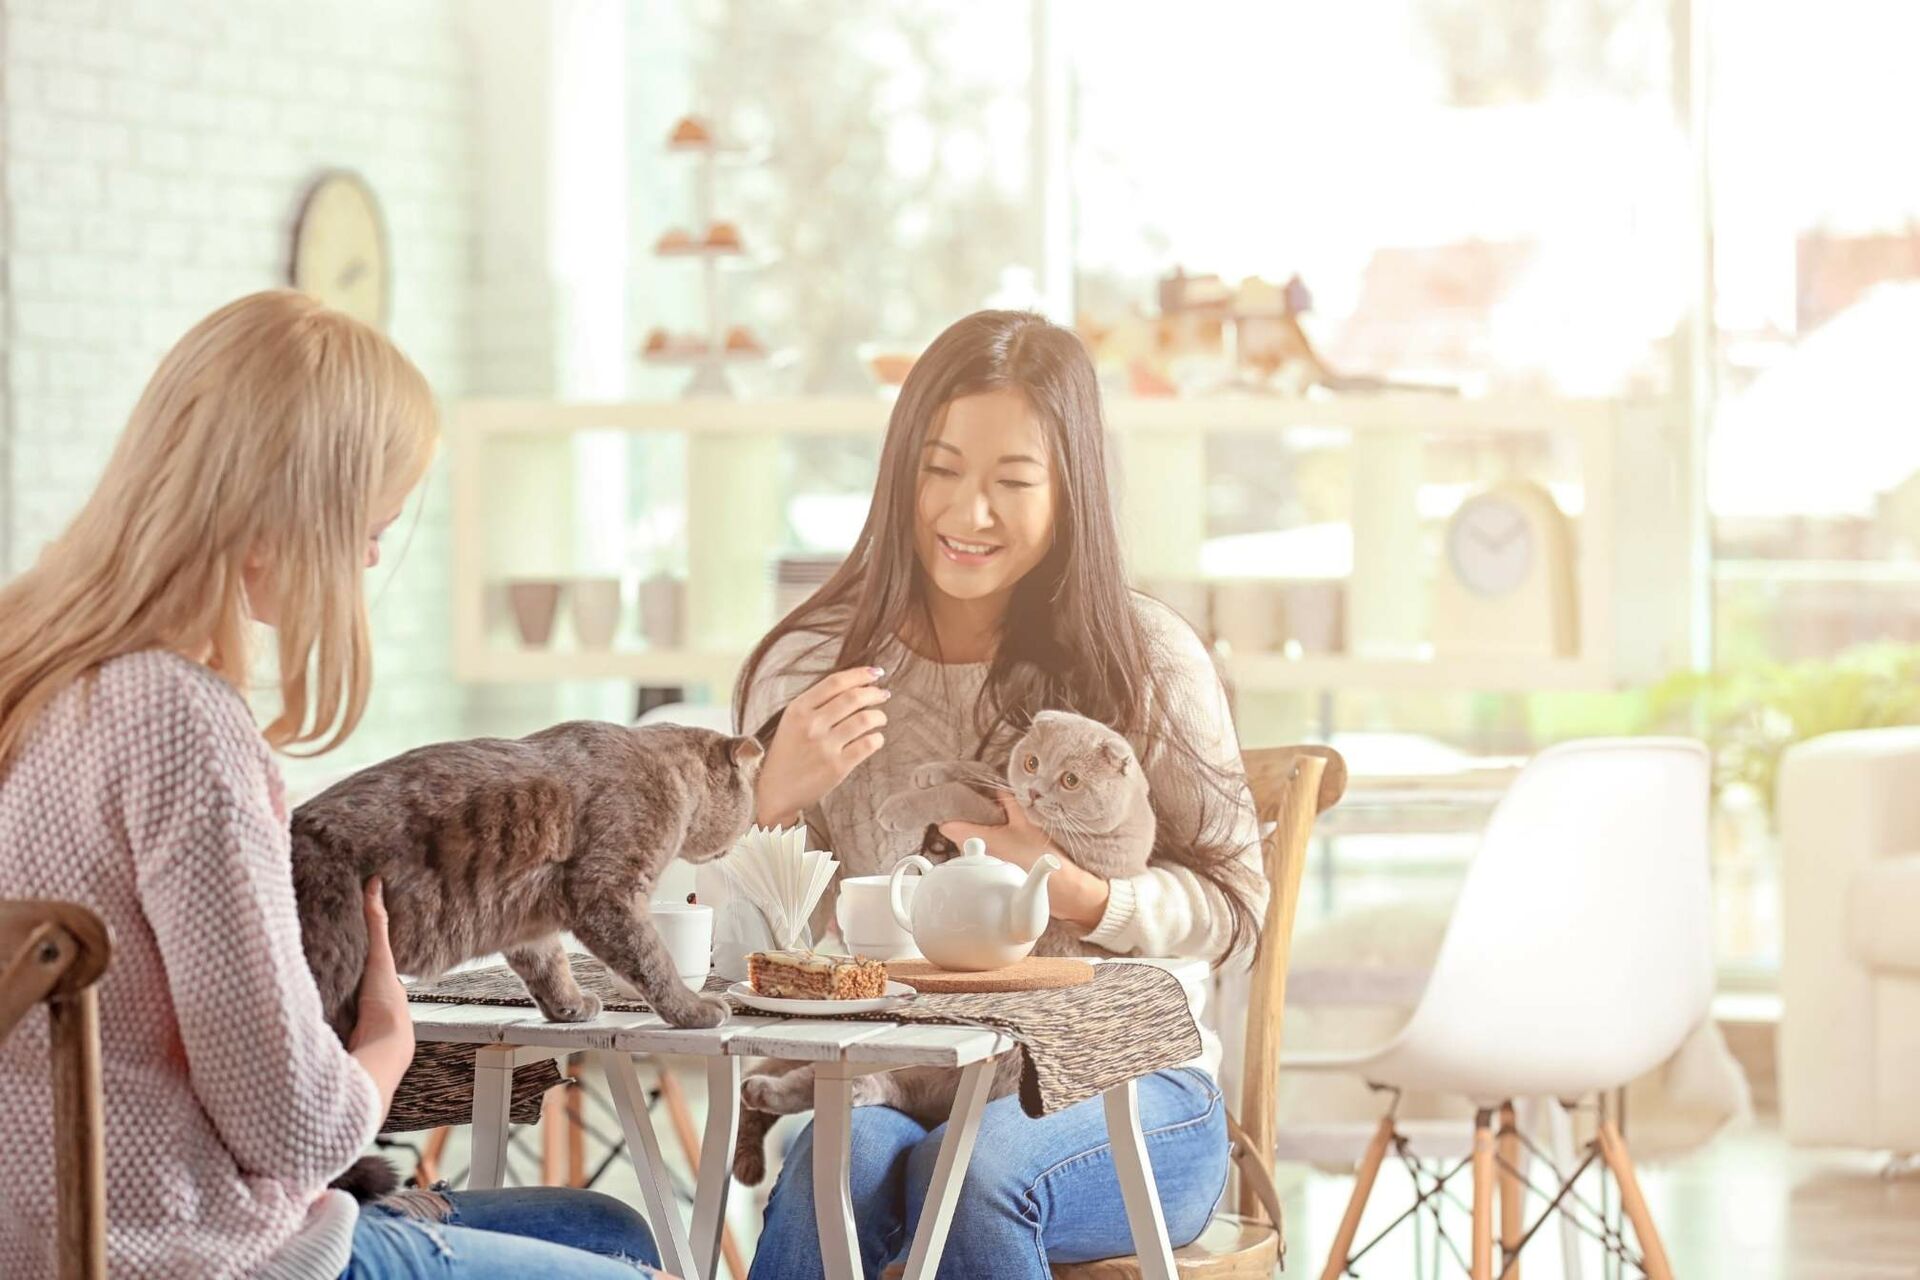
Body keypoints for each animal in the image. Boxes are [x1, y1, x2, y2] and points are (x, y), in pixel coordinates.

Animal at [733, 710, 1152, 1182]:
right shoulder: (1005, 792)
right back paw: (759, 1099)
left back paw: (784, 1092)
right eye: (1031, 763)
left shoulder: (1006, 822)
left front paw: (901, 805)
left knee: (861, 1086)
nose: (1036, 790)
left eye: (1071, 780)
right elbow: (982, 772)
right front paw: (935, 769)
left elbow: (960, 797)